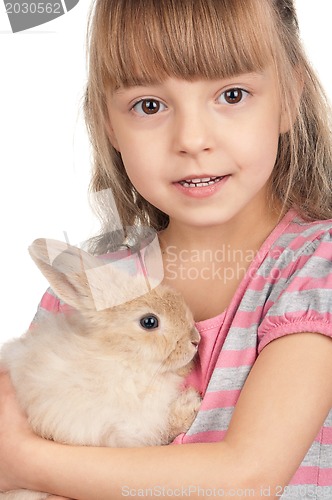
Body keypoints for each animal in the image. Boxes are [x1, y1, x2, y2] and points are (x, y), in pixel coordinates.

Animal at [0, 239, 201, 500]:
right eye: (149, 322)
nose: (195, 340)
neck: (122, 356)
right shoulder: (127, 430)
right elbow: (163, 428)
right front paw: (191, 404)